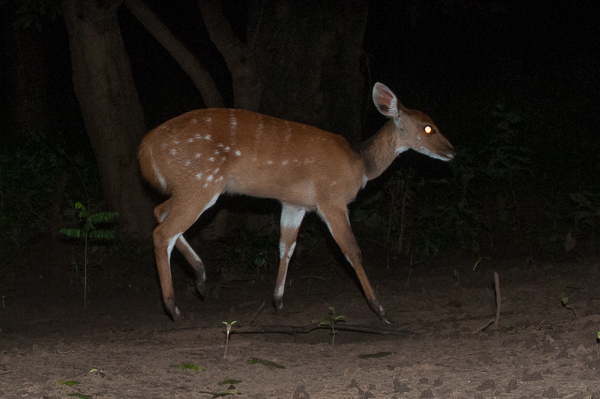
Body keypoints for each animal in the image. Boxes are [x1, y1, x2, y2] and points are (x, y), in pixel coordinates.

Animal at [138, 83, 452, 324]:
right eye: (427, 128)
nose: (451, 151)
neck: (360, 165)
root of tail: (146, 151)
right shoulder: (332, 199)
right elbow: (352, 250)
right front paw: (381, 310)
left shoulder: (295, 203)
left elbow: (286, 247)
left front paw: (277, 302)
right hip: (203, 181)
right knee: (162, 231)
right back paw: (174, 308)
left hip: (192, 185)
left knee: (159, 211)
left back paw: (201, 278)